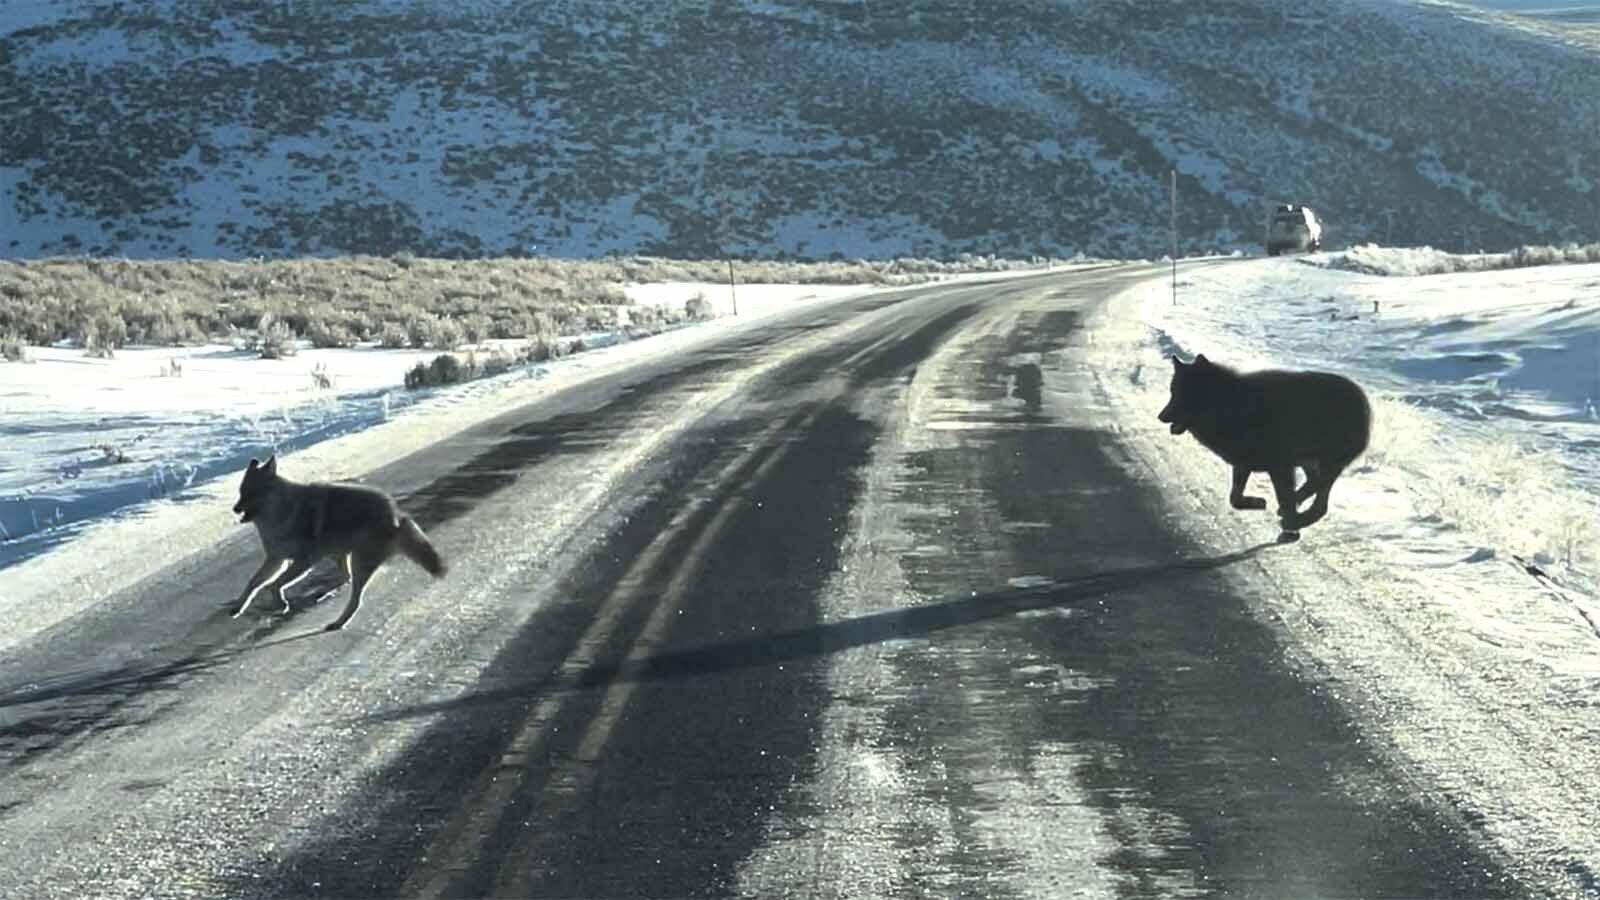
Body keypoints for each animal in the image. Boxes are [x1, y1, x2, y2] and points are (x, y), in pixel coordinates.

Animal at [231, 455, 446, 631]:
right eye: (241, 492)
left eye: (251, 493)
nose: (235, 509)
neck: (282, 513)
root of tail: (396, 515)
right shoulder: (277, 560)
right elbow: (253, 584)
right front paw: (238, 607)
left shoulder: (303, 562)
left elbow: (273, 586)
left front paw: (281, 604)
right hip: (341, 556)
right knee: (346, 579)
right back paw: (324, 596)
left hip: (357, 563)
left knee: (356, 599)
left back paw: (338, 622)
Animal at [1157, 354, 1371, 542]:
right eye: (1172, 392)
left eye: (1182, 394)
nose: (1161, 416)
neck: (1229, 405)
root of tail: (1363, 400)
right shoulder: (1243, 466)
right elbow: (1235, 499)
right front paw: (1259, 503)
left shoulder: (1281, 468)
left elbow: (1283, 498)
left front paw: (1291, 528)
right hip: (1308, 462)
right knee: (1315, 486)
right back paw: (1296, 506)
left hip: (1324, 462)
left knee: (1320, 500)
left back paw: (1297, 516)